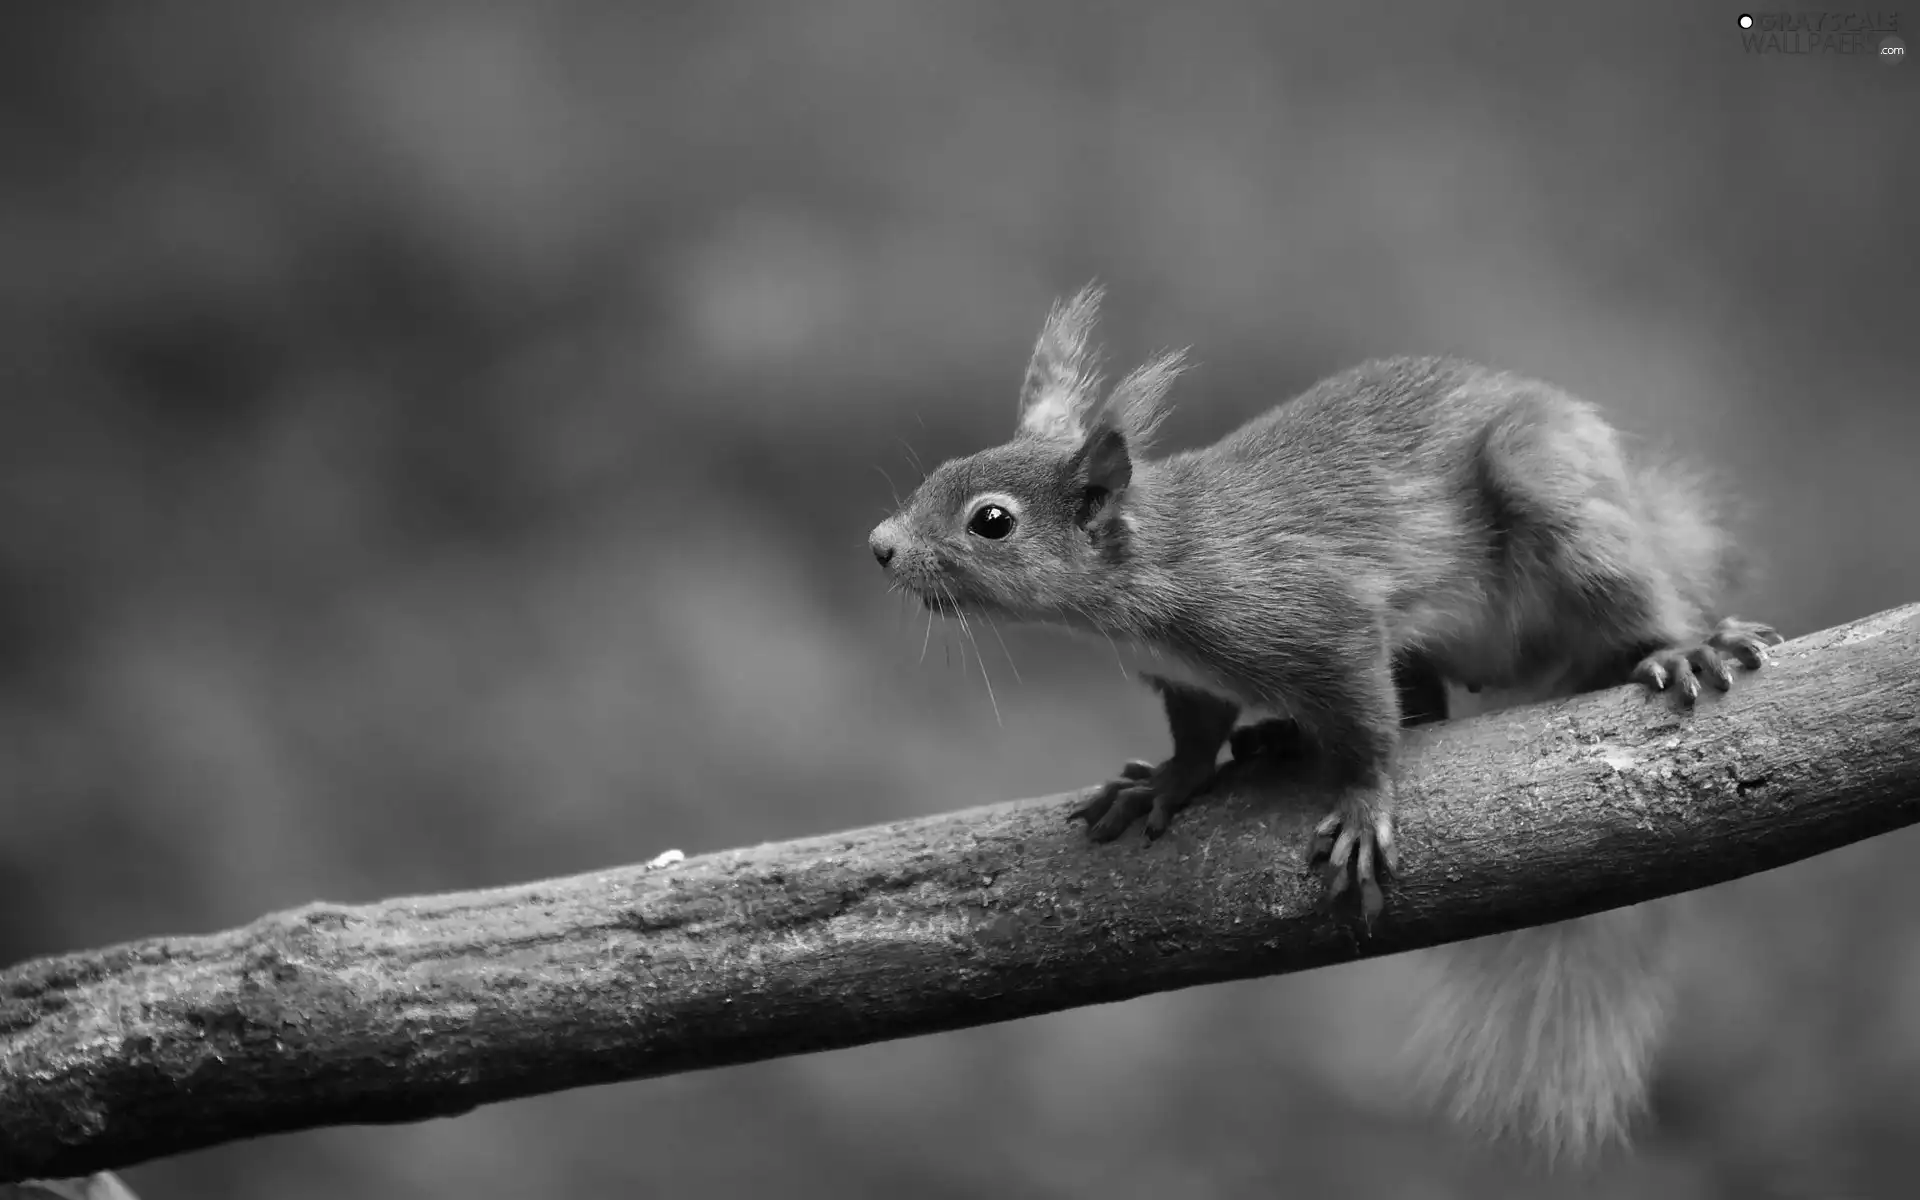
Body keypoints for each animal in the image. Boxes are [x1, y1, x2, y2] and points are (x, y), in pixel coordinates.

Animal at [871, 282, 1781, 1159]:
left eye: (992, 521)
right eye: (944, 471)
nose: (879, 545)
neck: (1158, 564)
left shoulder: (1322, 623)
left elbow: (1368, 728)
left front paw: (1363, 807)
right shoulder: (1187, 678)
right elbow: (1197, 736)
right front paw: (1164, 783)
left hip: (1552, 496)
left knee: (1626, 600)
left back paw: (1687, 644)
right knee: (1427, 703)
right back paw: (1278, 737)